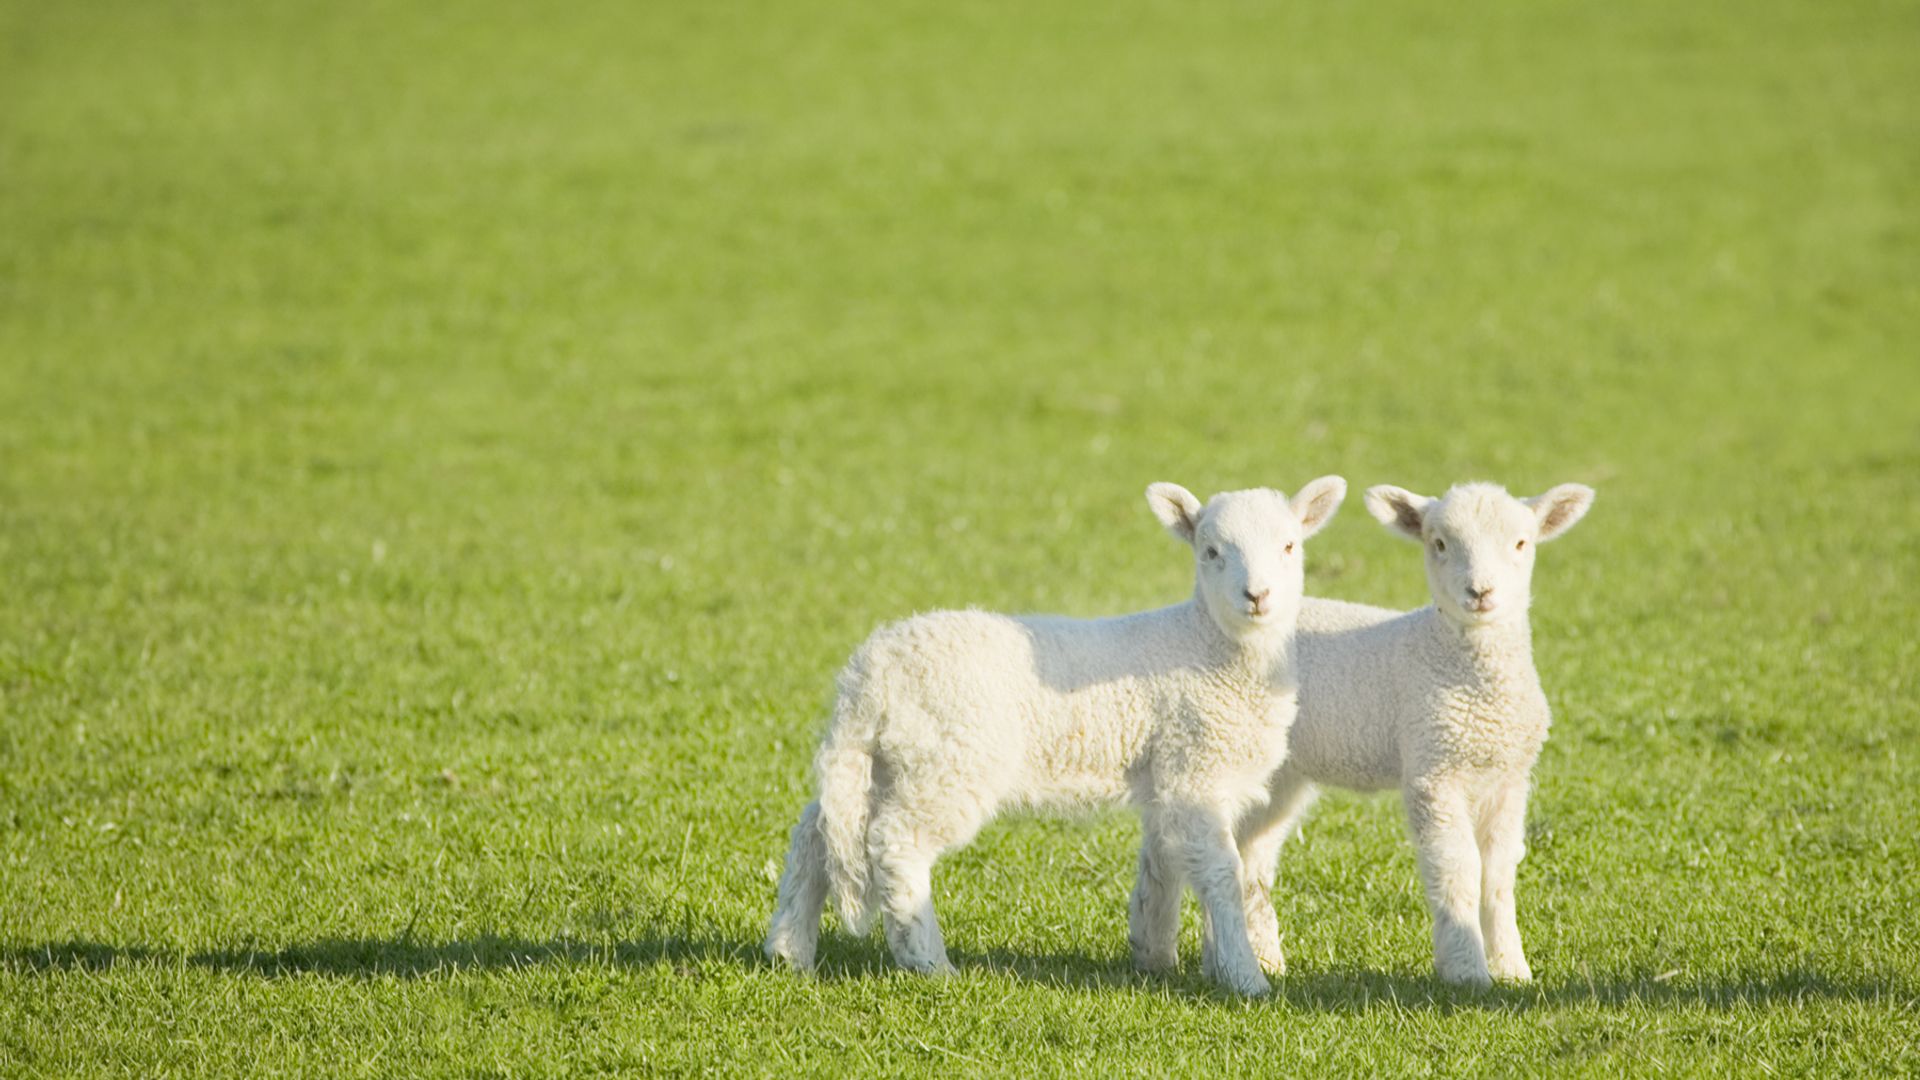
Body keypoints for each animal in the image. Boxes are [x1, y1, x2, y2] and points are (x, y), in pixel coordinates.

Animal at [763, 477, 1348, 997]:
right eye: (1210, 552)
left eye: (1290, 546)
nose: (1258, 595)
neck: (1210, 646)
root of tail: (868, 673)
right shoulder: (1195, 771)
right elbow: (1224, 873)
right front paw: (1245, 978)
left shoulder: (1173, 778)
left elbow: (1164, 868)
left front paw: (1157, 958)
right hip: (950, 760)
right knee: (896, 843)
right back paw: (928, 961)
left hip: (889, 760)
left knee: (817, 830)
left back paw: (789, 951)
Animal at [1143, 480, 1595, 989]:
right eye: (1439, 544)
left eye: (1521, 544)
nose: (1480, 591)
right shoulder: (1433, 770)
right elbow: (1457, 867)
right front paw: (1467, 972)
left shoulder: (1509, 779)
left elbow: (1498, 873)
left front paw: (1513, 970)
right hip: (1202, 747)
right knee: (1169, 846)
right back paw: (1158, 953)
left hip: (1273, 774)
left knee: (1247, 856)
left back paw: (1248, 959)